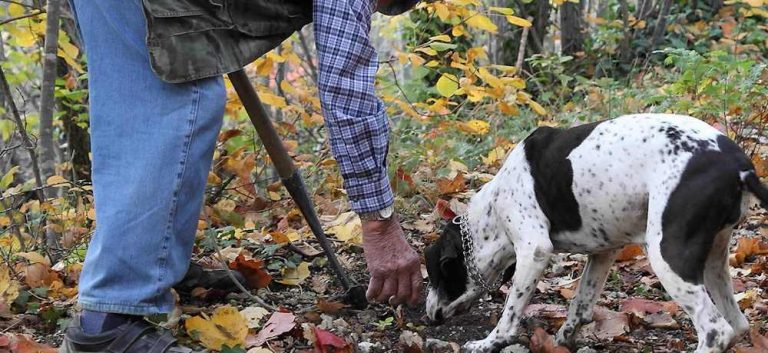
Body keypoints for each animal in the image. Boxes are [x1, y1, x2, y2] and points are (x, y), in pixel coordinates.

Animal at [426, 114, 768, 350]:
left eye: (435, 275)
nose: (428, 317)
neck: (491, 210)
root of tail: (739, 166)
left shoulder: (534, 251)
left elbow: (511, 311)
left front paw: (489, 342)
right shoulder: (604, 254)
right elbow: (581, 303)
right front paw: (563, 339)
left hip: (667, 256)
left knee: (715, 331)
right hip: (714, 262)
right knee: (737, 325)